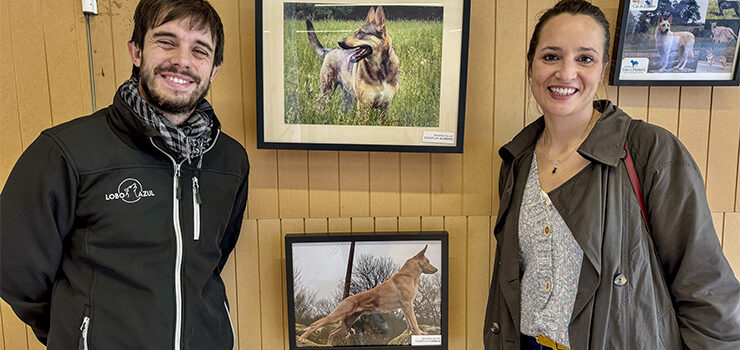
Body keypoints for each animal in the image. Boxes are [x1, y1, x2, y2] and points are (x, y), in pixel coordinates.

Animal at [300, 245, 440, 346]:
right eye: (428, 261)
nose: (437, 269)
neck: (409, 275)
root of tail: (346, 298)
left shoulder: (405, 306)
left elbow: (410, 323)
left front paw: (414, 333)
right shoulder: (407, 304)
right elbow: (414, 321)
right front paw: (419, 333)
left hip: (348, 321)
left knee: (331, 332)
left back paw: (329, 345)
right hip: (337, 316)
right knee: (316, 324)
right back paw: (302, 338)